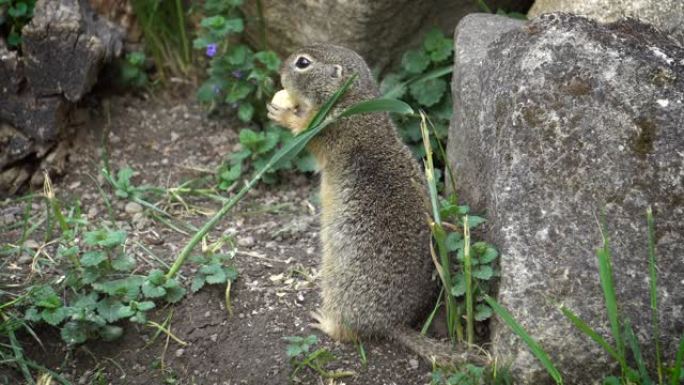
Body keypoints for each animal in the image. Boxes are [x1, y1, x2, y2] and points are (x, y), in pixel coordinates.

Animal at [268, 43, 486, 364]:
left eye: (303, 63)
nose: (279, 70)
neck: (353, 100)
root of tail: (391, 323)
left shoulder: (328, 128)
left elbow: (305, 129)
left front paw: (281, 113)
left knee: (347, 332)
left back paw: (323, 321)